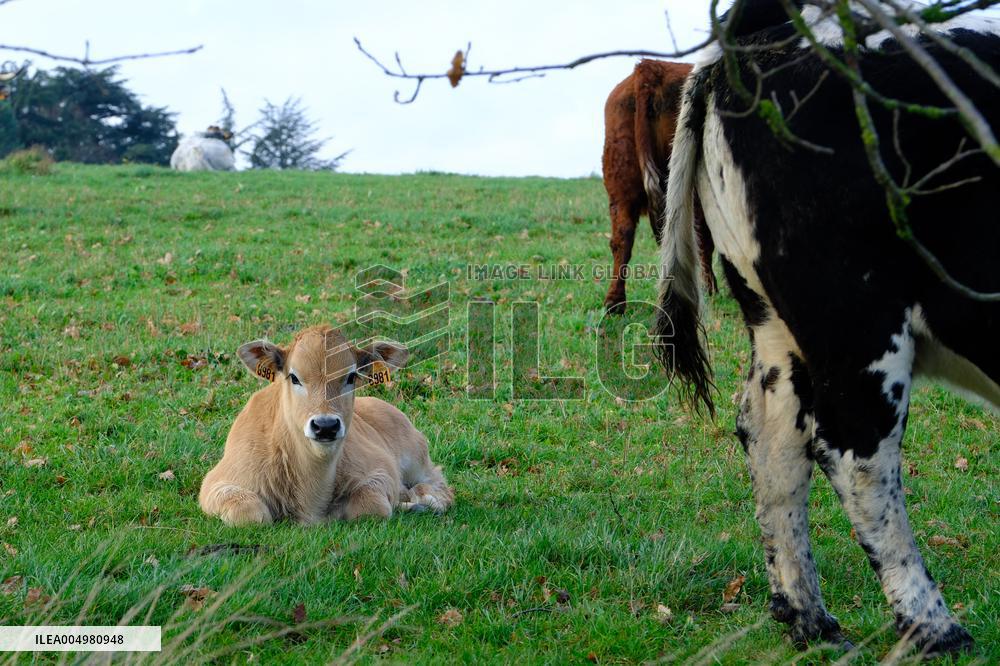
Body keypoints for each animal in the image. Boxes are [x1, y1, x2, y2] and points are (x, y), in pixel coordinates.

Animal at [199, 325, 453, 525]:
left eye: (351, 377)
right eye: (294, 377)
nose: (325, 425)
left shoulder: (379, 471)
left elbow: (372, 507)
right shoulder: (217, 483)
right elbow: (250, 514)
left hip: (417, 459)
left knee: (440, 484)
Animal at [655, 0, 999, 656]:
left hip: (778, 322)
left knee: (771, 437)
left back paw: (808, 618)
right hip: (856, 313)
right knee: (857, 451)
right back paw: (935, 628)